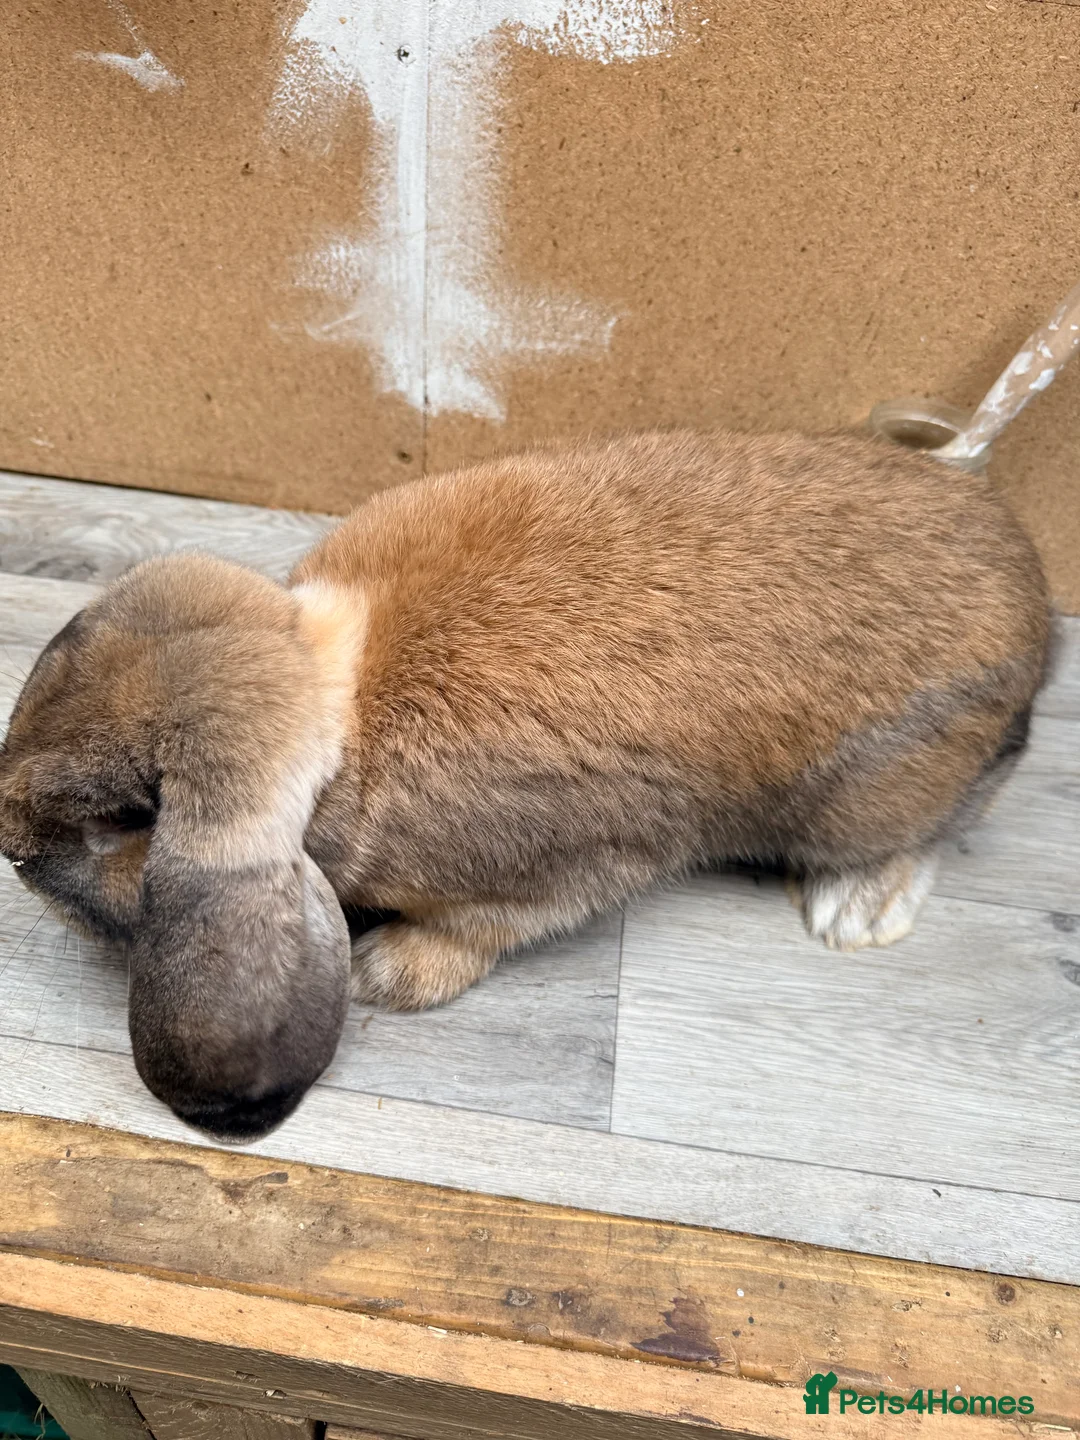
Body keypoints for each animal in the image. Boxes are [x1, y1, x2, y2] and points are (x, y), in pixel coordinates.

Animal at [0, 429, 1051, 1141]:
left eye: (123, 818)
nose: (8, 843)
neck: (344, 694)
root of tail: (1041, 618)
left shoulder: (564, 867)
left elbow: (490, 930)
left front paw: (389, 975)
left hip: (871, 799)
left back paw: (855, 910)